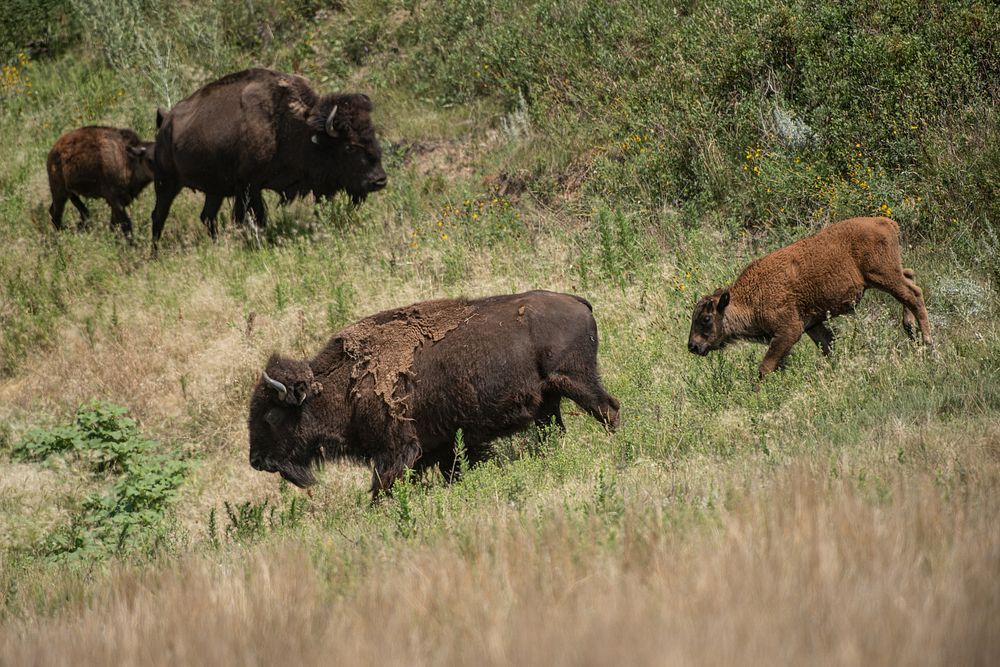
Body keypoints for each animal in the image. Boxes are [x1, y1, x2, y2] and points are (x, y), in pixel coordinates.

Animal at [151, 67, 386, 248]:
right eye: (349, 147)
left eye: (372, 135)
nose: (379, 180)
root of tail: (165, 124)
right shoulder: (249, 187)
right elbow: (255, 217)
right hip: (166, 182)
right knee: (158, 215)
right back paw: (155, 254)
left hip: (214, 190)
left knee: (207, 216)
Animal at [247, 290, 620, 498]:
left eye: (270, 415)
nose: (256, 461)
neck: (345, 385)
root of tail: (578, 301)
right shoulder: (441, 445)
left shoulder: (397, 449)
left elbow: (383, 486)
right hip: (549, 401)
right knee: (554, 430)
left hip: (578, 382)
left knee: (608, 409)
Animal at [688, 218, 928, 386]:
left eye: (706, 318)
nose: (692, 346)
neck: (751, 296)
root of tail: (887, 222)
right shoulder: (812, 325)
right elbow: (828, 346)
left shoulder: (788, 331)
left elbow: (765, 367)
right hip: (888, 275)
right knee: (910, 277)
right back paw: (911, 331)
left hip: (882, 276)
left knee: (913, 295)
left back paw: (927, 342)